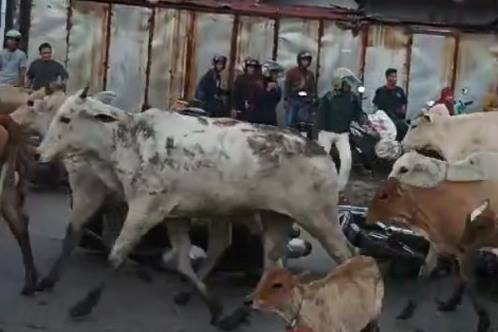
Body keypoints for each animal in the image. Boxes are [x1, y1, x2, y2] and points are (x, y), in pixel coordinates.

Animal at [36, 87, 354, 326]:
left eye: (65, 118)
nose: (39, 152)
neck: (128, 140)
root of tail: (320, 151)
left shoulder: (145, 208)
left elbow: (116, 254)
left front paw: (83, 305)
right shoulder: (172, 215)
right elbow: (182, 262)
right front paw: (214, 308)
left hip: (319, 218)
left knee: (348, 256)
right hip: (275, 218)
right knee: (271, 266)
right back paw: (236, 314)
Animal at [366, 179, 494, 332]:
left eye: (384, 195)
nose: (367, 217)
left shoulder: (466, 251)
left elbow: (469, 282)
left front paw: (484, 321)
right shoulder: (439, 247)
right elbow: (426, 275)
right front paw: (408, 311)